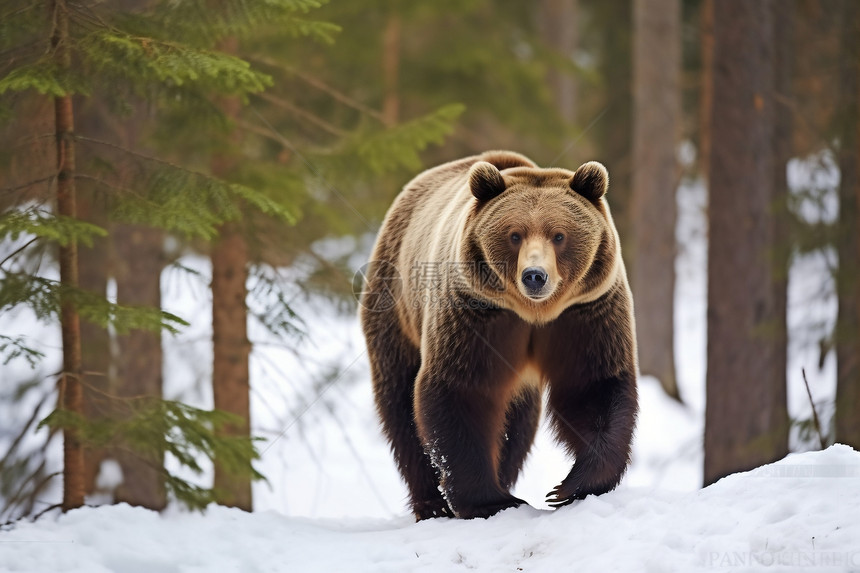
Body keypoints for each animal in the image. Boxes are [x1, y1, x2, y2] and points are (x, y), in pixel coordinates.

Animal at [360, 150, 636, 520]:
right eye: (514, 234)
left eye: (559, 235)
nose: (535, 275)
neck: (534, 313)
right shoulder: (475, 314)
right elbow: (462, 391)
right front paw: (489, 500)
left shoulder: (585, 313)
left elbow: (593, 386)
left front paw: (569, 487)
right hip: (396, 308)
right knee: (400, 404)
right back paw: (431, 503)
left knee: (517, 422)